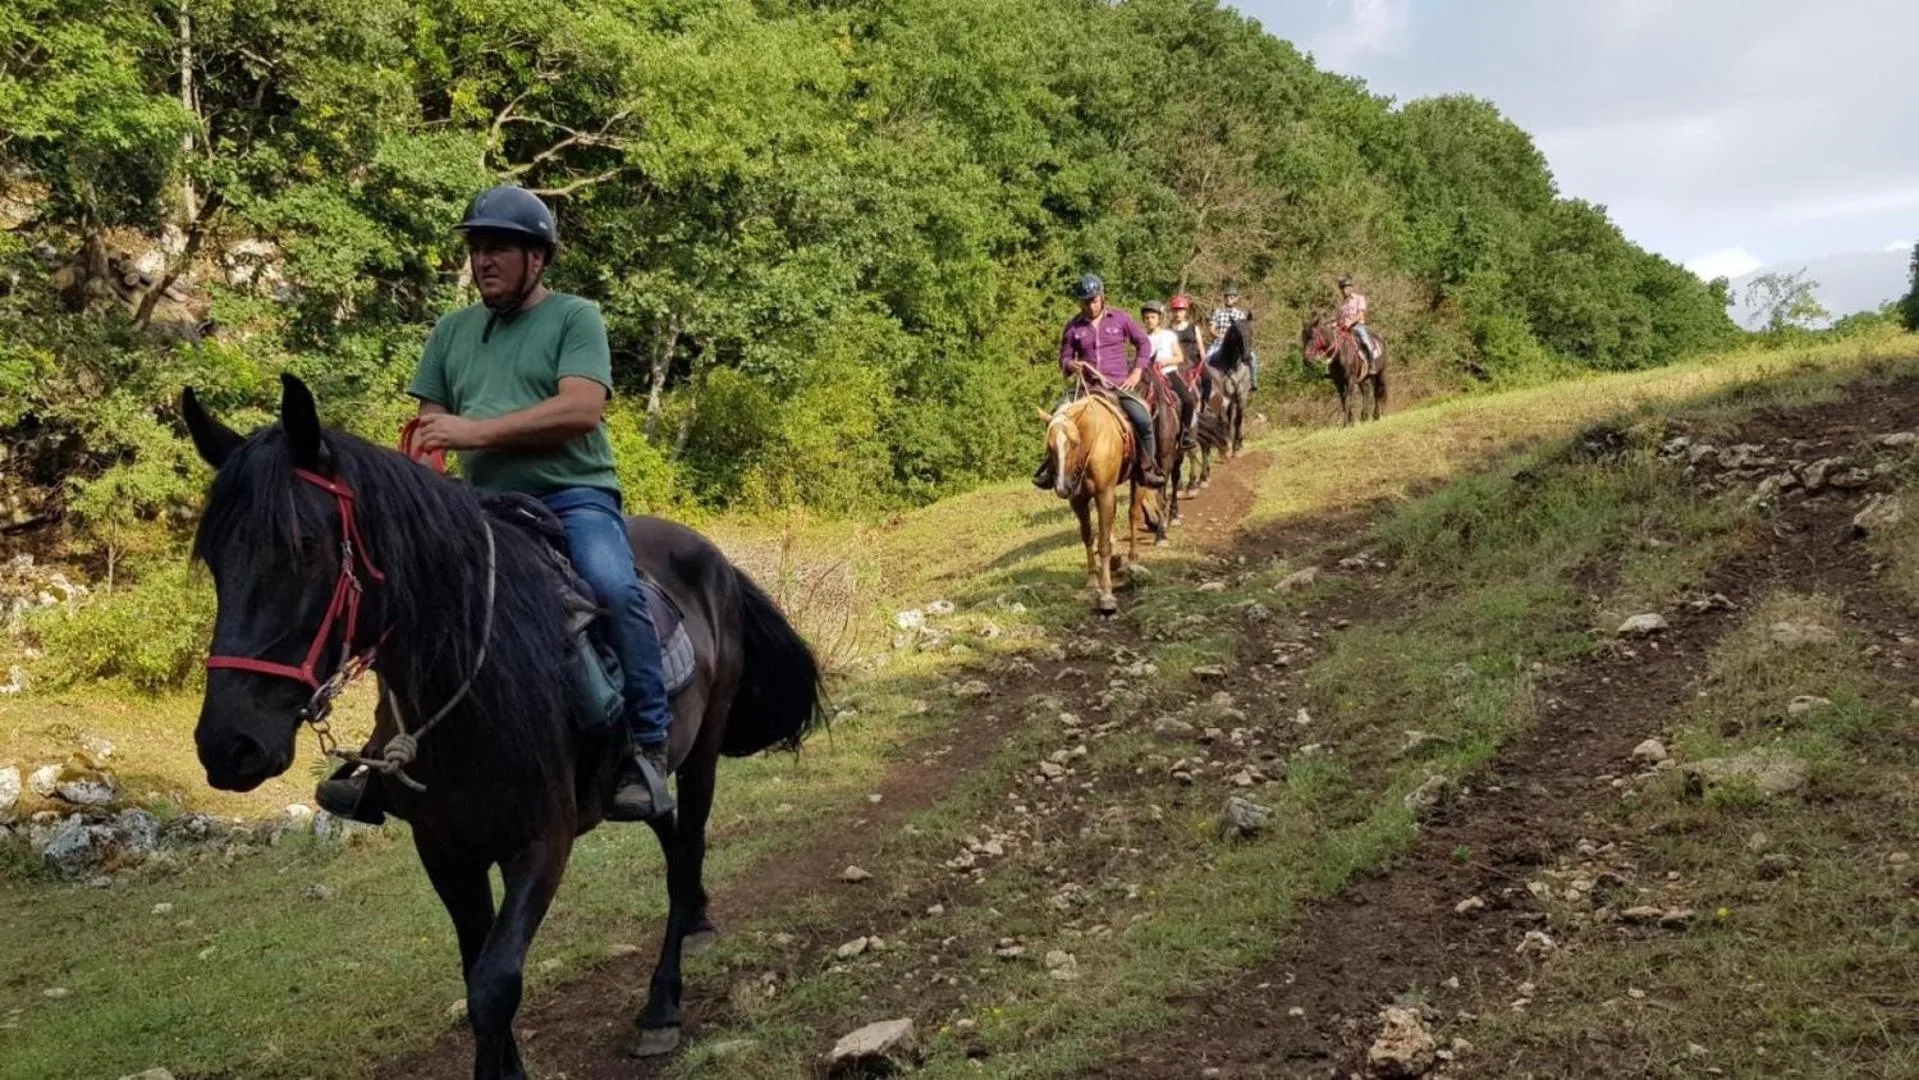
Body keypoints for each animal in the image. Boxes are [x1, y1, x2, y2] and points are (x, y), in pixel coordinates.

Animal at [180, 375, 823, 1079]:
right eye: (215, 560)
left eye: (303, 549)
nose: (229, 746)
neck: (477, 683)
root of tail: (715, 559)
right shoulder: (444, 848)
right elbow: (475, 974)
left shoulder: (542, 842)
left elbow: (494, 986)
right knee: (673, 834)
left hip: (701, 753)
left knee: (687, 851)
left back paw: (663, 1005)